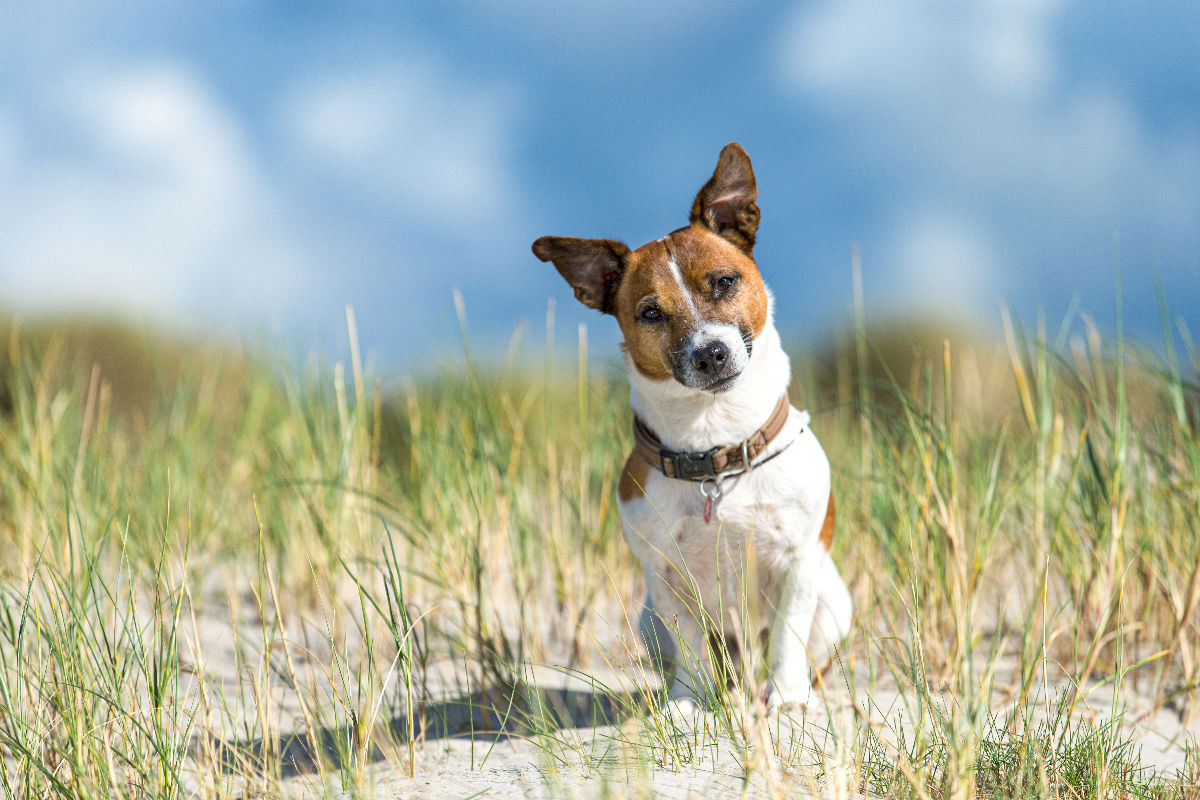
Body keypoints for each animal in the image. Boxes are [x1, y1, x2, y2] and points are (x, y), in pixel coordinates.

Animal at [530, 142, 849, 714]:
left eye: (724, 281)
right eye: (651, 313)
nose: (711, 353)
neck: (716, 448)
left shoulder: (798, 564)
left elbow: (788, 637)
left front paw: (786, 699)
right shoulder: (664, 577)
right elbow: (695, 645)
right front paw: (694, 704)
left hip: (835, 603)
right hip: (648, 620)